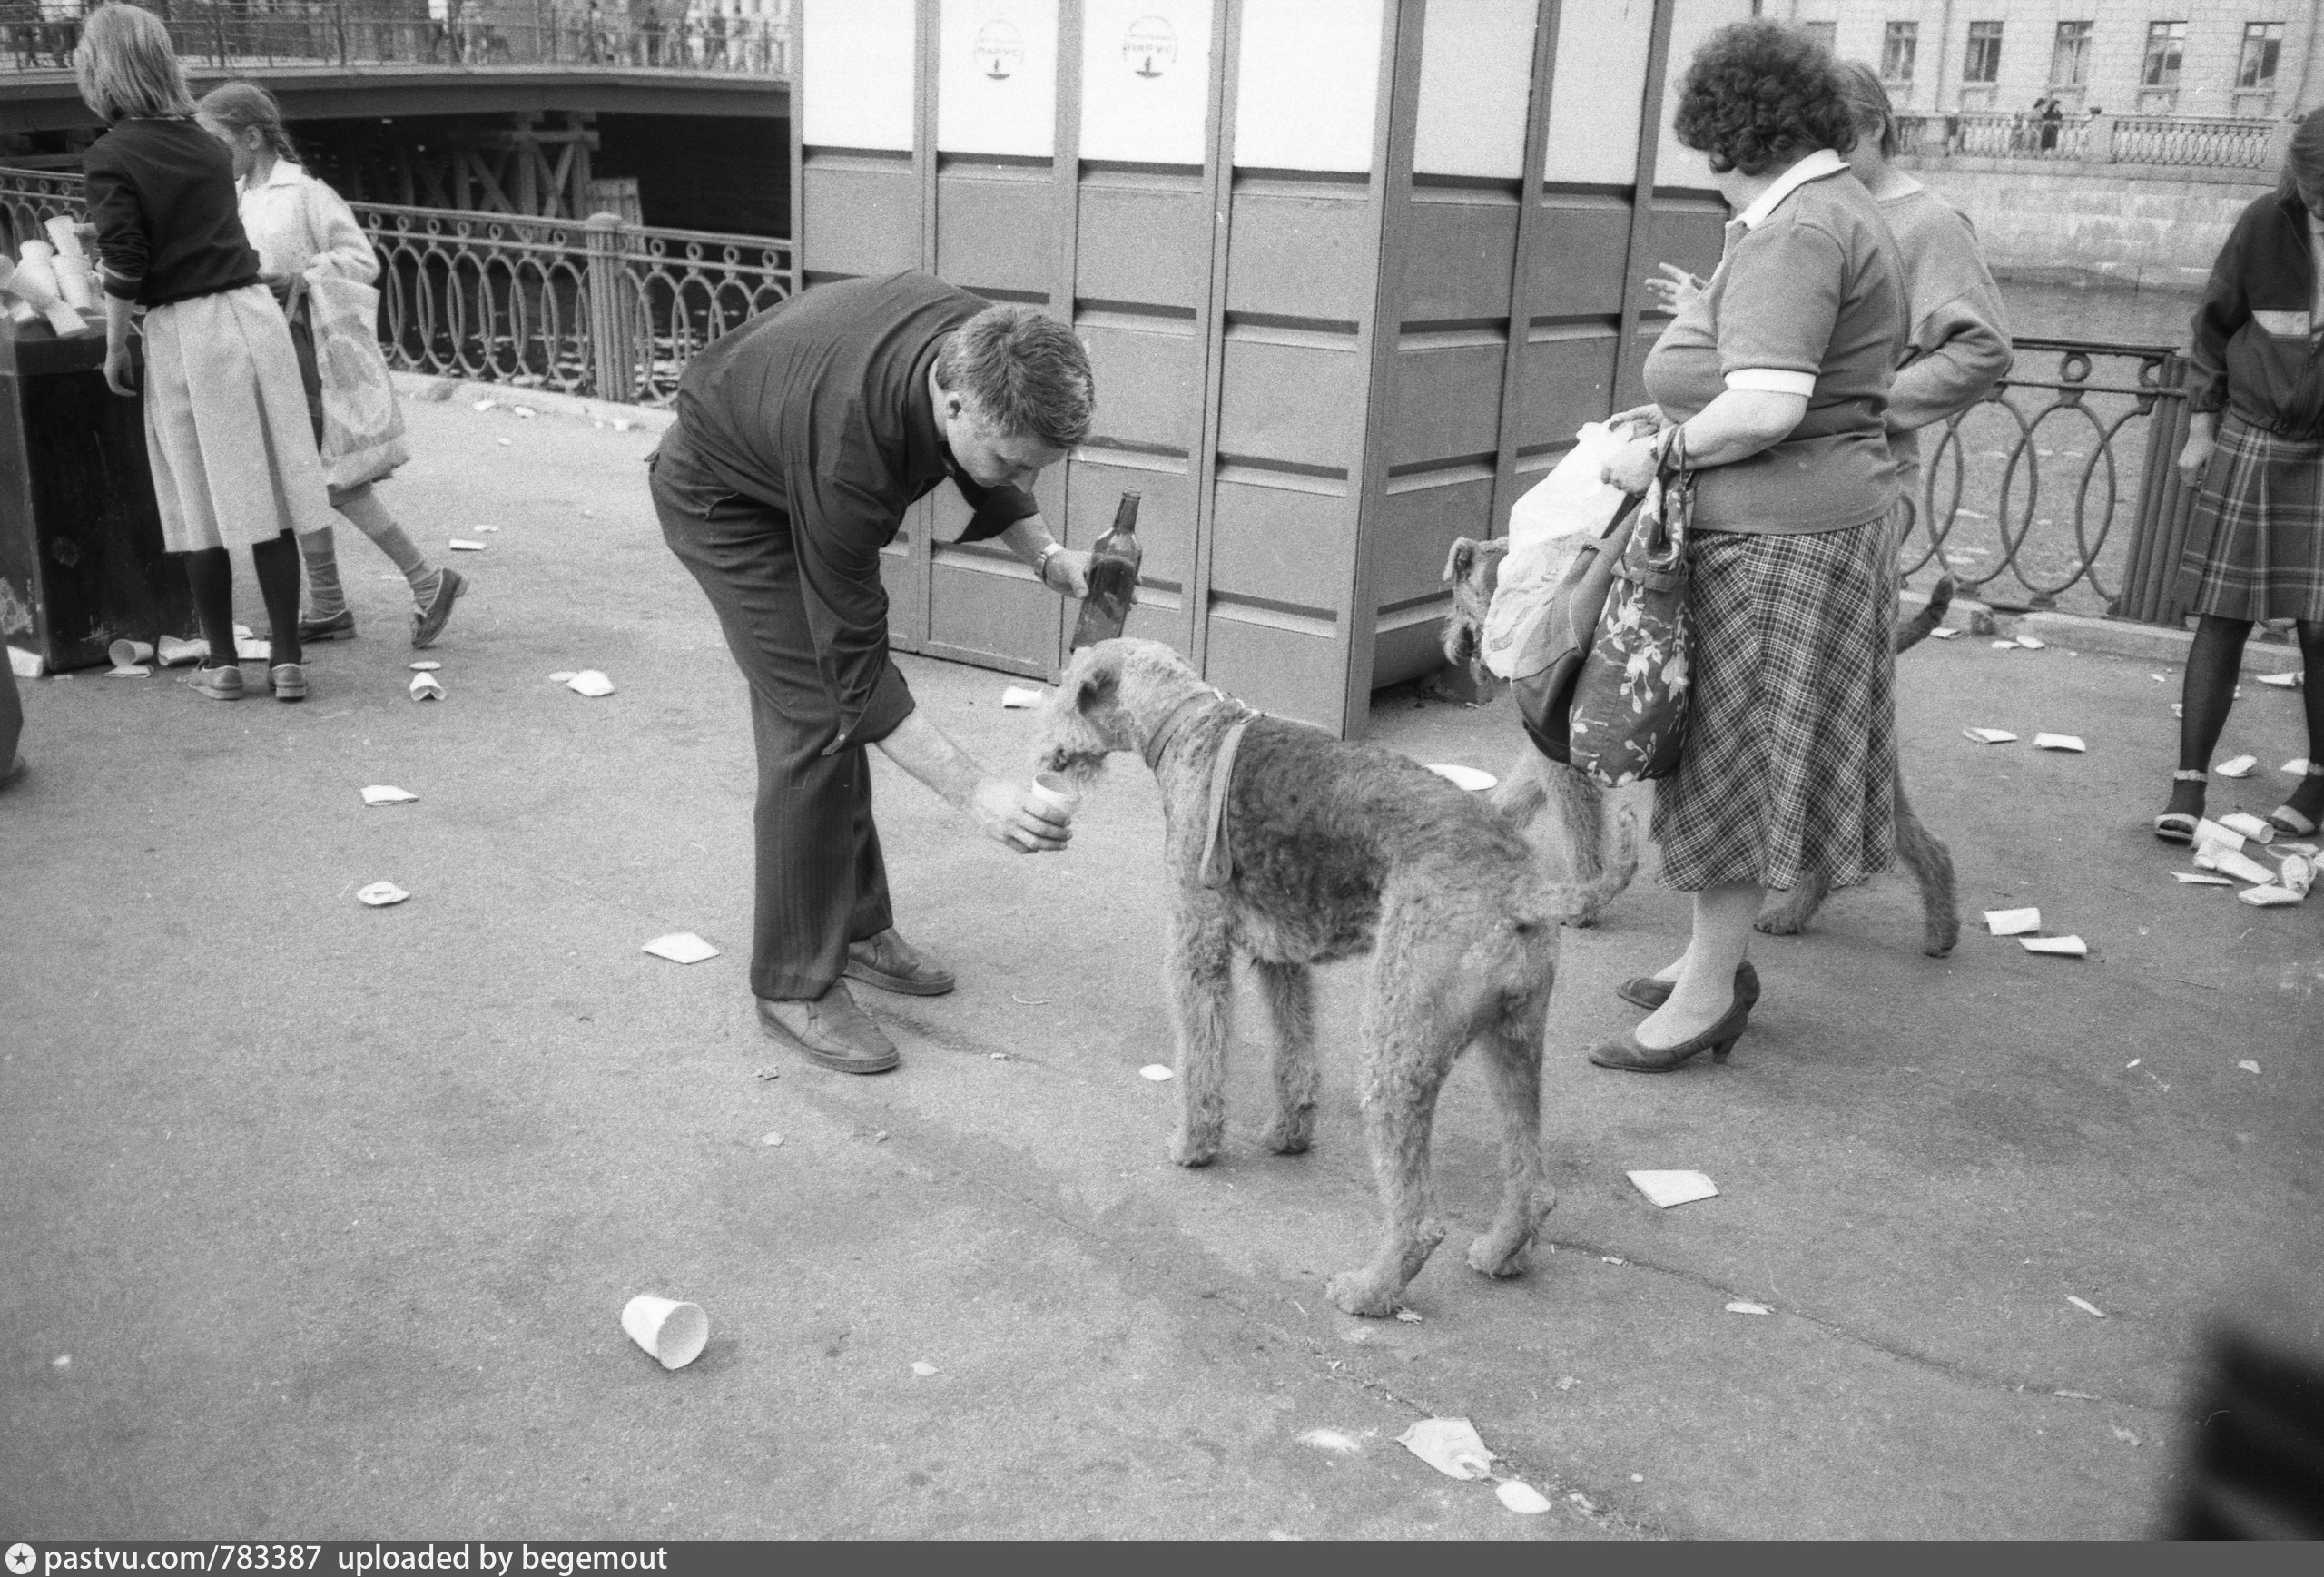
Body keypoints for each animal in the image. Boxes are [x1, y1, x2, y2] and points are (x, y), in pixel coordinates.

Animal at [1034, 638, 1585, 1317]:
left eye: (1066, 686)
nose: (1044, 747)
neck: (1188, 728)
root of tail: (1520, 889)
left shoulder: (1197, 944)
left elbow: (1200, 1059)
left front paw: (1193, 1144)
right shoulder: (1281, 956)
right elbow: (1293, 1052)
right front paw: (1289, 1133)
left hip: (1398, 1042)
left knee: (1420, 1219)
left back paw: (1367, 1289)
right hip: (1514, 1036)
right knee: (1533, 1182)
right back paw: (1499, 1252)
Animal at [1442, 537, 1960, 956]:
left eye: (1453, 597)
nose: (1451, 645)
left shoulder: (1561, 754)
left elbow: (1580, 832)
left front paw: (1584, 905)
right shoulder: (1549, 751)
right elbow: (1517, 797)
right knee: (1923, 845)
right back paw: (1928, 929)